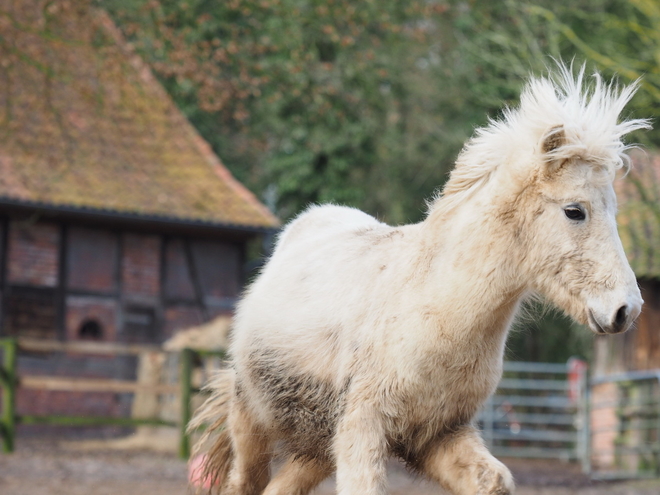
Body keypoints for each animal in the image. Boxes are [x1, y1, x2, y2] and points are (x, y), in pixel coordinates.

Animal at [189, 66, 648, 495]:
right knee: (243, 482)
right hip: (252, 421)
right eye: (575, 211)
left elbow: (493, 480)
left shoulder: (439, 436)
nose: (626, 309)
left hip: (315, 449)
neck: (433, 312)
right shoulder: (362, 431)